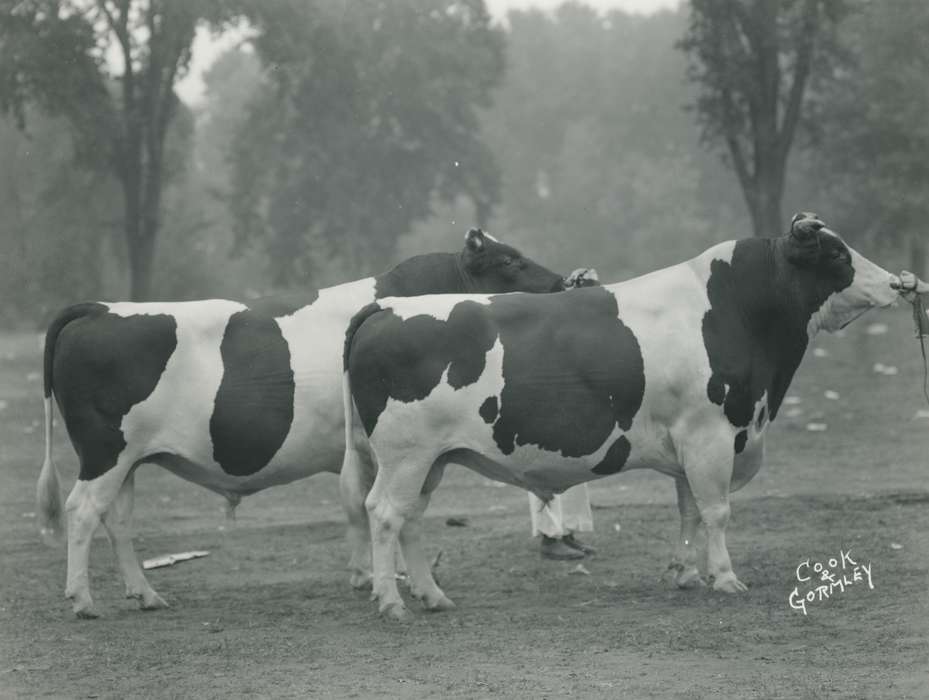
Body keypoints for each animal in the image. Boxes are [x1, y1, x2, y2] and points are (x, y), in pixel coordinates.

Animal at [37, 228, 572, 618]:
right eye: (510, 262)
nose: (566, 284)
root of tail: (100, 308)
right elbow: (374, 509)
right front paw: (383, 580)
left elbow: (363, 508)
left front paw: (369, 577)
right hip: (104, 453)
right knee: (82, 511)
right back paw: (83, 600)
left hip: (127, 459)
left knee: (117, 520)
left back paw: (144, 593)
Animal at [342, 213, 906, 620]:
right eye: (837, 253)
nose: (900, 284)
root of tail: (385, 308)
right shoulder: (710, 435)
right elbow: (716, 511)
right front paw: (726, 578)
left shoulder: (690, 442)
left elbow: (689, 511)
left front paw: (687, 573)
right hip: (405, 455)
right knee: (384, 513)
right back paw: (391, 601)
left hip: (431, 460)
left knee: (411, 519)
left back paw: (432, 595)